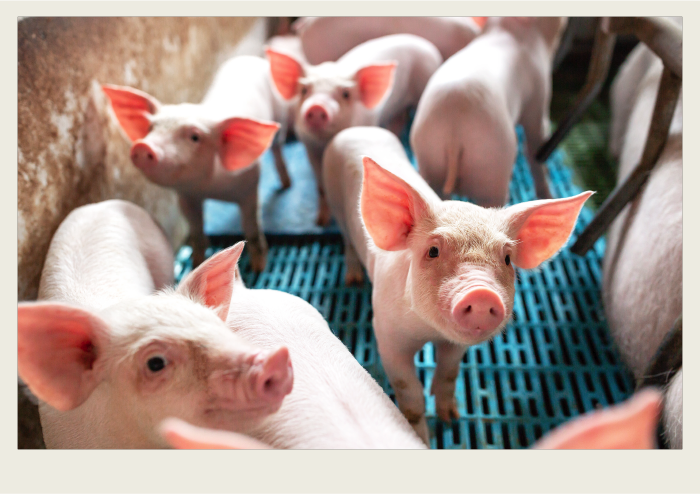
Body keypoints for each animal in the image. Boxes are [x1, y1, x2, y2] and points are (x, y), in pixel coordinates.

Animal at [102, 55, 288, 271]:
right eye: (151, 128)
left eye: (194, 137)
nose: (142, 146)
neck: (209, 189)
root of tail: (250, 58)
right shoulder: (187, 196)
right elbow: (197, 233)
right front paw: (196, 264)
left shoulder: (250, 186)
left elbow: (251, 228)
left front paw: (259, 268)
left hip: (280, 117)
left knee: (278, 148)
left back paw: (286, 185)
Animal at [267, 34, 443, 225]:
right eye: (304, 90)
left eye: (345, 94)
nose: (317, 107)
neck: (325, 142)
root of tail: (424, 43)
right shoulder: (309, 146)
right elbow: (321, 186)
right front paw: (320, 222)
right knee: (399, 120)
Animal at [323, 127, 592, 444]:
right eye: (433, 251)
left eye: (507, 258)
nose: (482, 293)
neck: (428, 331)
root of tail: (358, 129)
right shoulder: (387, 335)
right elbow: (410, 394)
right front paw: (421, 438)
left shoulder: (456, 345)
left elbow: (449, 373)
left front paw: (451, 417)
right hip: (336, 205)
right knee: (347, 241)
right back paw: (352, 279)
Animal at [411, 17, 568, 206]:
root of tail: (454, 134)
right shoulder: (538, 100)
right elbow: (536, 147)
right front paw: (549, 195)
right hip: (491, 166)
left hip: (431, 157)